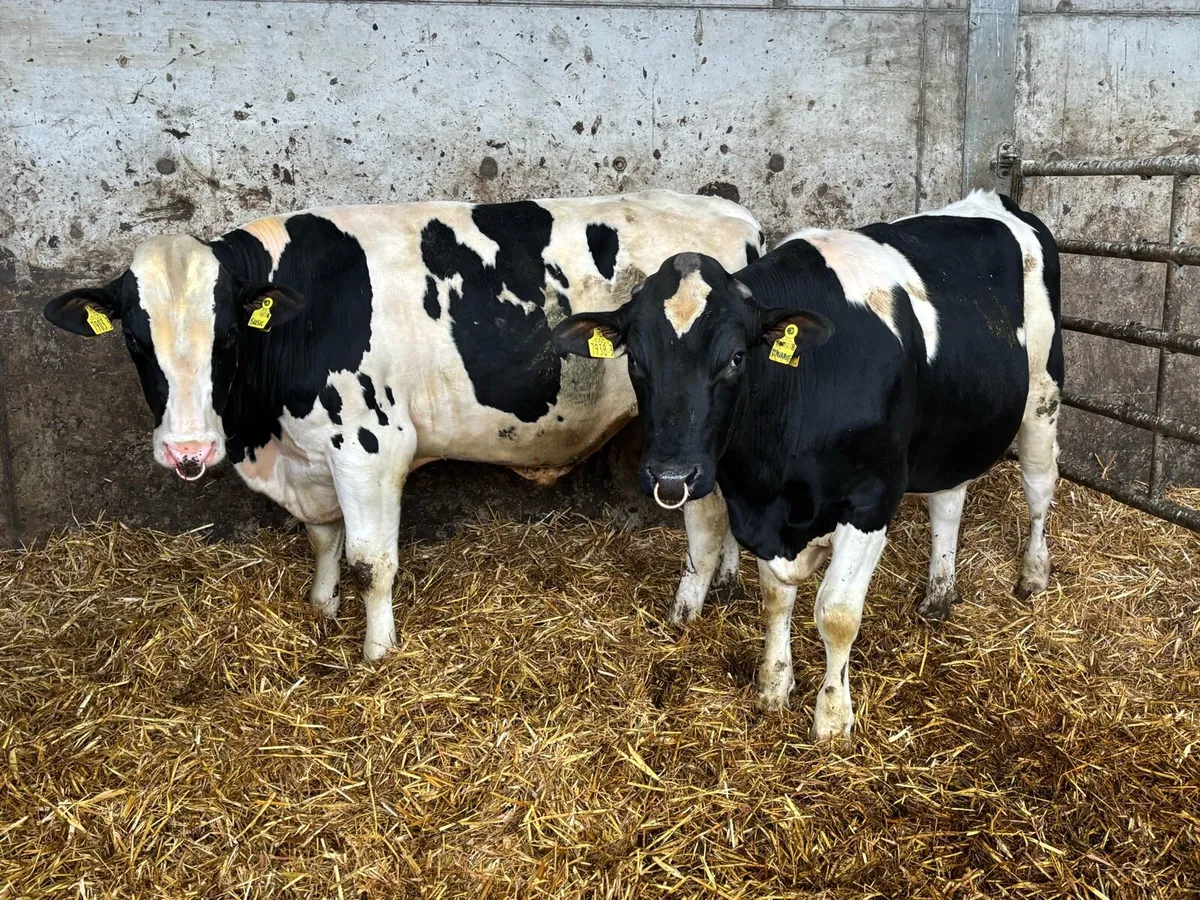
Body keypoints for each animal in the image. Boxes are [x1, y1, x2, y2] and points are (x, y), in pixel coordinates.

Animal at [43, 190, 763, 660]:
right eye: (135, 340)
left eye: (225, 337)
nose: (187, 449)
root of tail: (734, 214)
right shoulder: (313, 457)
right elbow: (323, 537)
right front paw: (322, 606)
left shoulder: (370, 445)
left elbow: (371, 560)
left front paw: (376, 651)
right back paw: (728, 579)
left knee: (704, 520)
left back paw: (687, 611)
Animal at [552, 191, 1063, 740]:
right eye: (635, 359)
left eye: (737, 357)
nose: (671, 476)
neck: (774, 484)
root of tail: (994, 199)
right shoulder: (764, 516)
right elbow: (776, 599)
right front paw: (774, 685)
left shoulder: (871, 501)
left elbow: (836, 614)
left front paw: (833, 717)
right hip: (952, 428)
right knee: (948, 500)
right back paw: (938, 595)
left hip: (1042, 398)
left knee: (1039, 486)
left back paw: (1033, 574)